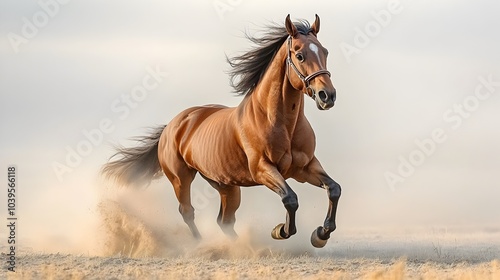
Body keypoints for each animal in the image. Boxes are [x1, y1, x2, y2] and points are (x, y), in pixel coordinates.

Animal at [103, 14, 342, 247]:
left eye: (325, 51)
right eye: (300, 55)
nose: (327, 95)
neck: (282, 124)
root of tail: (172, 125)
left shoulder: (304, 167)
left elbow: (334, 189)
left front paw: (321, 234)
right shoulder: (263, 169)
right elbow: (290, 199)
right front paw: (280, 230)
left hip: (226, 185)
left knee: (224, 221)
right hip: (181, 178)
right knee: (187, 211)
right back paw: (200, 245)